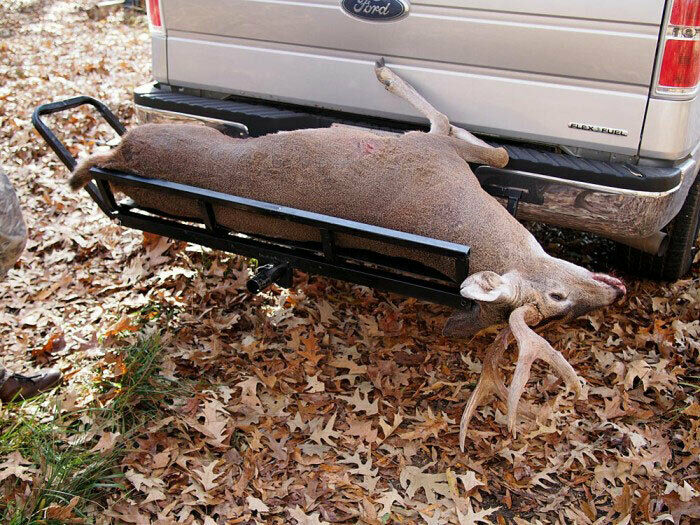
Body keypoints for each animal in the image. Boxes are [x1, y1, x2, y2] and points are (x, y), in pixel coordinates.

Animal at [68, 60, 626, 450]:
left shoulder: (434, 146)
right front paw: (383, 71)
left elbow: (488, 145)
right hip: (170, 131)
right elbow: (484, 141)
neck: (464, 216)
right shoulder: (431, 145)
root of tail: (124, 153)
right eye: (556, 300)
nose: (612, 293)